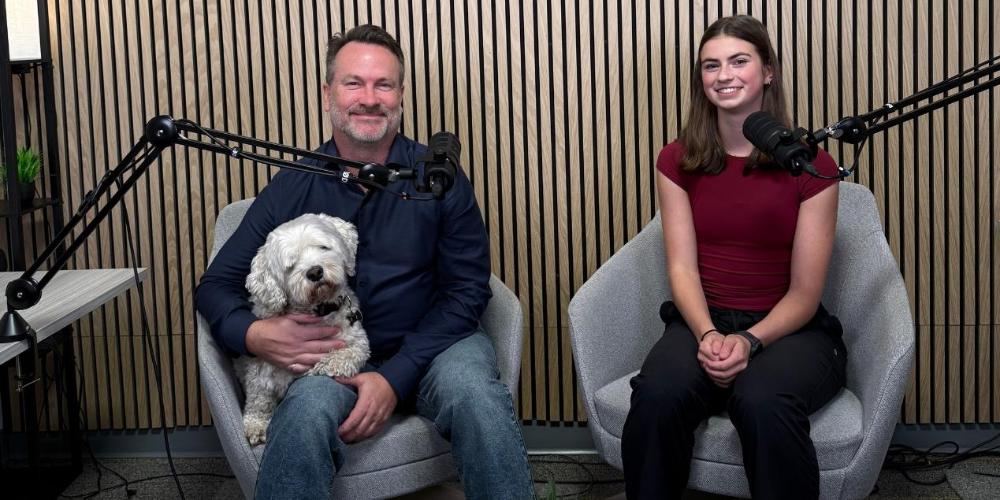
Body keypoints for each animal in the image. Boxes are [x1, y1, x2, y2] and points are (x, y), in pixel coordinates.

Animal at [234, 213, 370, 446]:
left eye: (323, 247)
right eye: (291, 264)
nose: (314, 271)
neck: (318, 309)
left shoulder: (358, 343)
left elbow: (343, 356)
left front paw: (321, 365)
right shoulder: (260, 364)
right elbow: (259, 397)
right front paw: (256, 424)